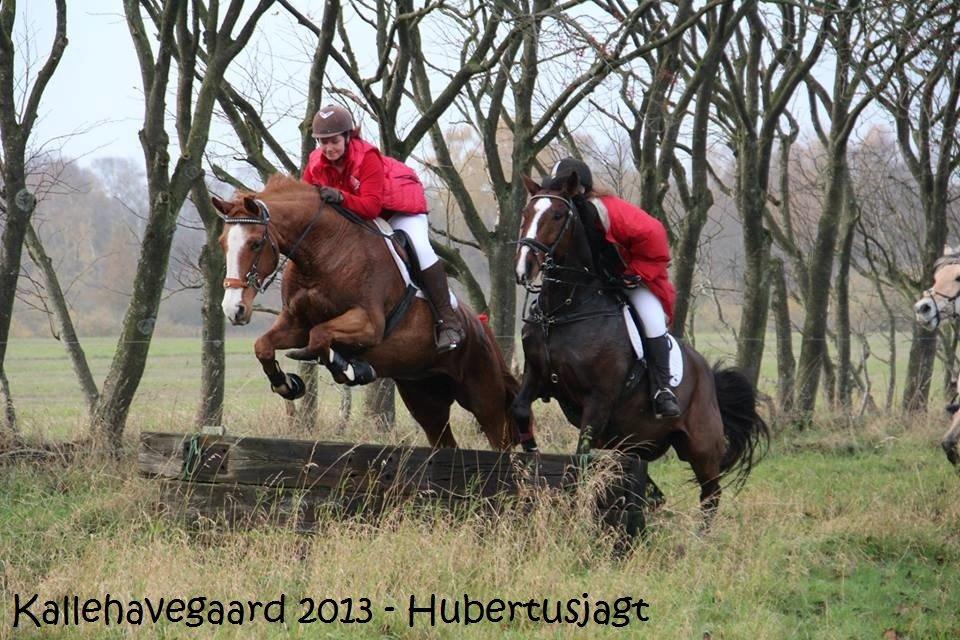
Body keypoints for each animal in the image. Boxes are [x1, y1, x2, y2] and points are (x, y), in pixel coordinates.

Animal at [213, 175, 524, 450]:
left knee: (500, 439)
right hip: (424, 397)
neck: (323, 250)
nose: (233, 309)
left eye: (255, 243)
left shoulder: (369, 324)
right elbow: (264, 345)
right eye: (223, 243)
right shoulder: (296, 324)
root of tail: (481, 326)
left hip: (483, 395)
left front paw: (351, 369)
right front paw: (286, 384)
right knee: (444, 439)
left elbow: (320, 336)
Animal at [512, 171, 768, 520]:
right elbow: (520, 409)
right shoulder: (538, 377)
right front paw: (532, 458)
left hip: (700, 446)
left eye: (558, 215)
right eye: (526, 214)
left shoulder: (598, 400)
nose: (524, 268)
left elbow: (581, 455)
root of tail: (708, 374)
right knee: (653, 486)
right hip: (634, 439)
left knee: (711, 495)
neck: (565, 309)